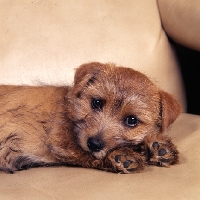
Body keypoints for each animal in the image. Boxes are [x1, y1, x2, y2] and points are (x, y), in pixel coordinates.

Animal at [0, 62, 181, 173]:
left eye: (132, 120)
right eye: (97, 102)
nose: (94, 144)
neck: (72, 108)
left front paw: (158, 147)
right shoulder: (62, 141)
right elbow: (89, 156)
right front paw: (122, 156)